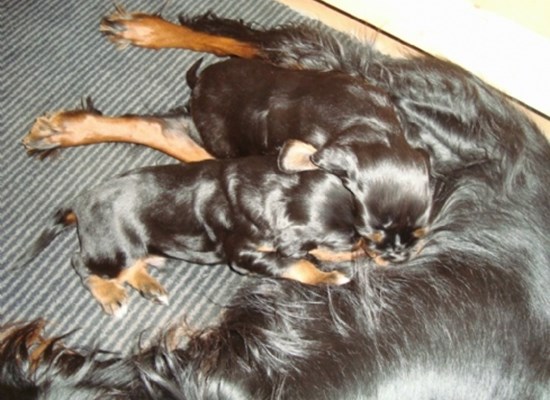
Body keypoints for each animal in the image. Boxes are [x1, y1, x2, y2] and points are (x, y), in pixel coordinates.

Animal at [21, 155, 370, 318]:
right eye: (347, 242)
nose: (368, 248)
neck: (273, 189)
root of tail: (80, 202)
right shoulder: (242, 253)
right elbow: (295, 264)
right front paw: (329, 277)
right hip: (114, 246)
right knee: (81, 262)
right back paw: (112, 296)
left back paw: (150, 283)